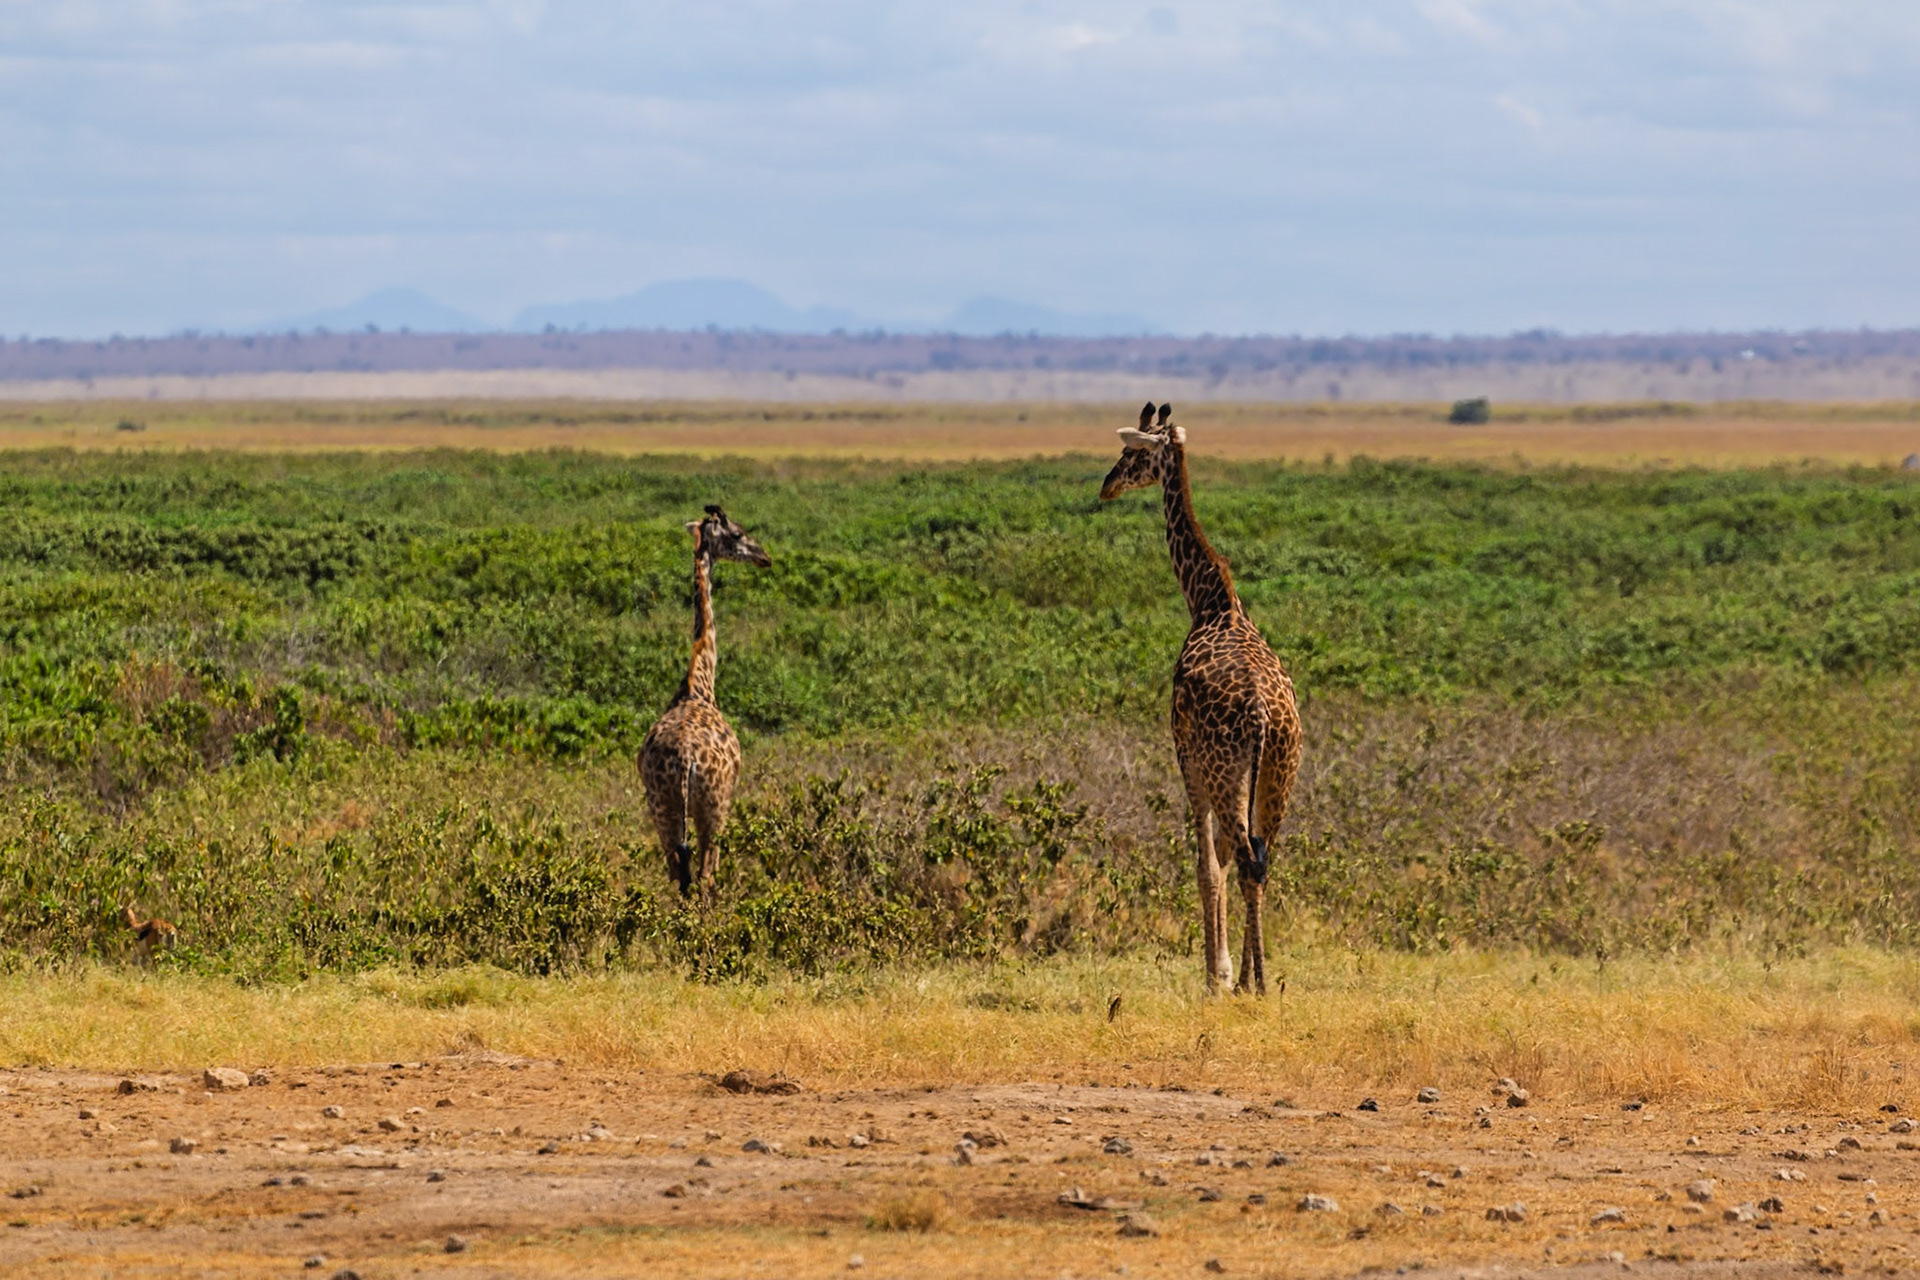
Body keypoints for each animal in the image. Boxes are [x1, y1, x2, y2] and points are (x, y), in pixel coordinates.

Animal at [639, 505, 771, 900]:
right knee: (705, 876)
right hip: (713, 807)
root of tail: (685, 762)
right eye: (737, 534)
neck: (699, 683)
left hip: (661, 807)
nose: (765, 557)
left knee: (677, 875)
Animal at [1101, 402, 1303, 995]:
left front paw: (1216, 973)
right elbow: (1226, 863)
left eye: (1131, 453)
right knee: (1261, 858)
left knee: (1243, 857)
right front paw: (1228, 970)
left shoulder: (1184, 752)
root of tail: (1264, 718)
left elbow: (1205, 864)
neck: (1209, 598)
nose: (1106, 486)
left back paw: (1249, 983)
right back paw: (1259, 979)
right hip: (1280, 773)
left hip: (1225, 770)